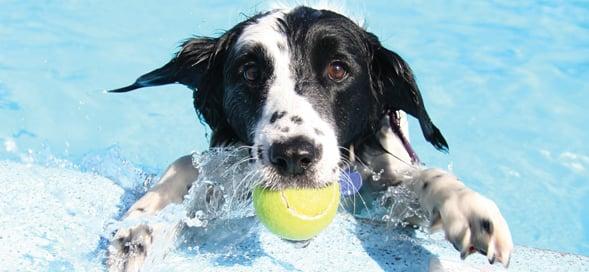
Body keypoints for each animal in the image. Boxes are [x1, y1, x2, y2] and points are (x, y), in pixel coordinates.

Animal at [105, 5, 510, 270]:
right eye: (250, 72)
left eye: (338, 69)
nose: (293, 156)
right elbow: (189, 168)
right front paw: (141, 224)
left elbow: (419, 179)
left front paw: (467, 207)